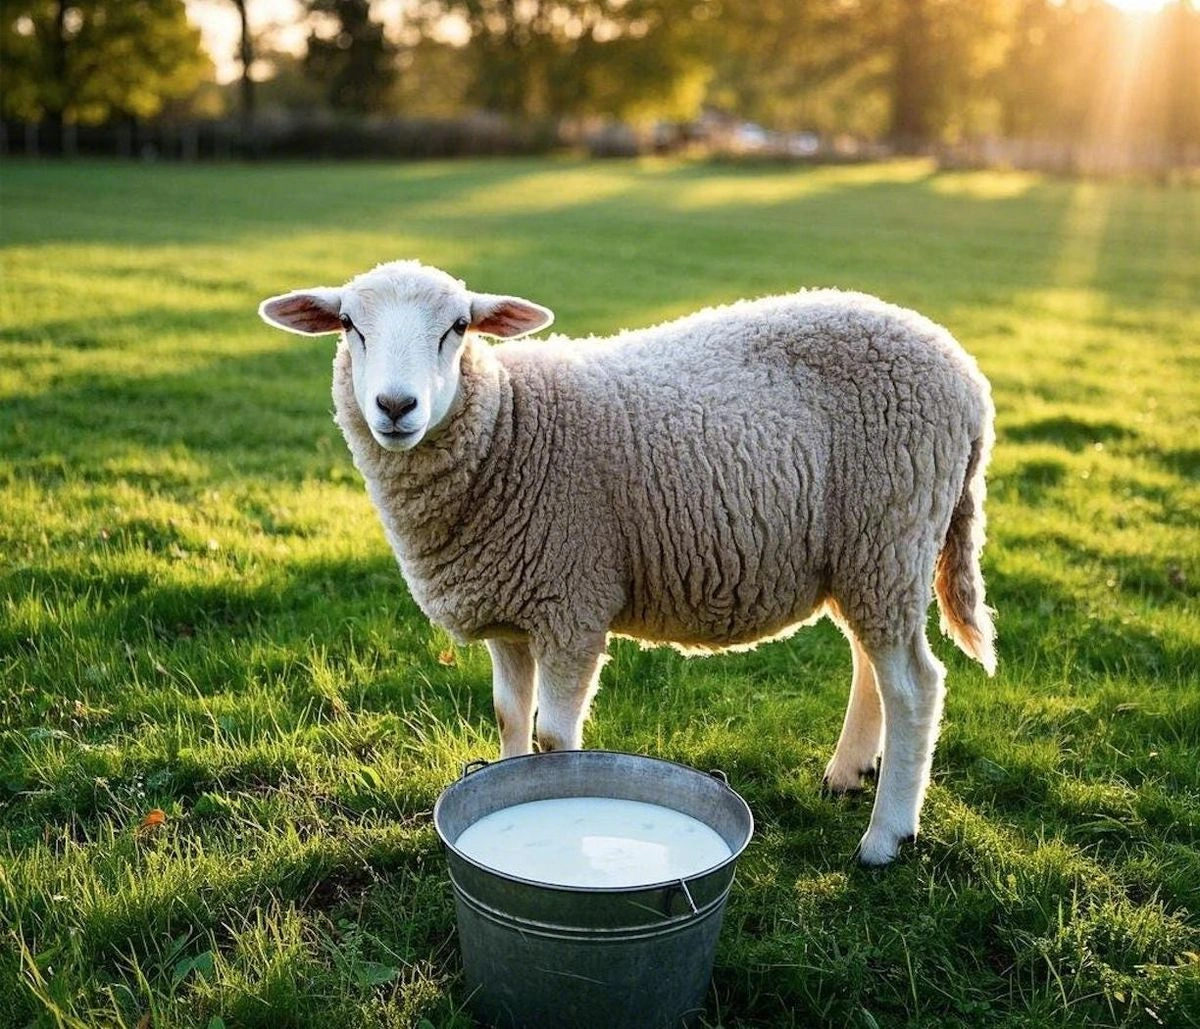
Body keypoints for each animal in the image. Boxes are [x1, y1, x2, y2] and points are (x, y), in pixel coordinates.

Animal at [258, 259, 996, 866]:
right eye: (349, 324)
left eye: (459, 327)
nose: (395, 406)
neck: (508, 428)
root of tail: (966, 375)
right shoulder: (509, 611)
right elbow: (508, 719)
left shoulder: (571, 601)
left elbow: (555, 737)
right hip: (860, 556)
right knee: (872, 663)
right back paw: (847, 773)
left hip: (891, 531)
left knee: (916, 685)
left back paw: (886, 835)